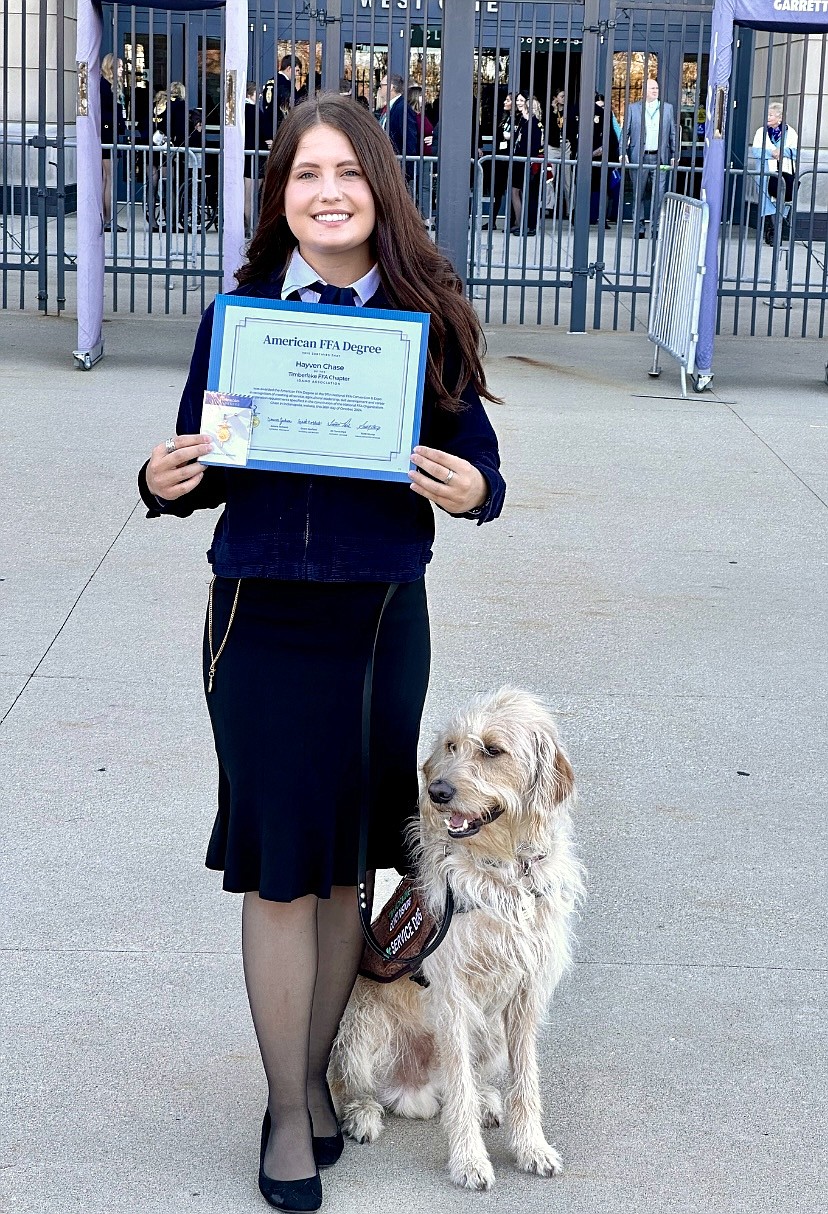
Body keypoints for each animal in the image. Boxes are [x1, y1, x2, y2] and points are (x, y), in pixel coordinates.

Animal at [325, 689, 582, 1189]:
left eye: (492, 750)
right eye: (450, 746)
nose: (437, 792)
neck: (505, 871)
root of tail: (412, 1086)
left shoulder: (526, 993)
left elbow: (525, 1081)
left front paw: (531, 1148)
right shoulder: (453, 993)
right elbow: (459, 1083)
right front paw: (469, 1162)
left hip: (490, 1031)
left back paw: (484, 1099)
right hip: (364, 1023)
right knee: (348, 1081)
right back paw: (362, 1113)